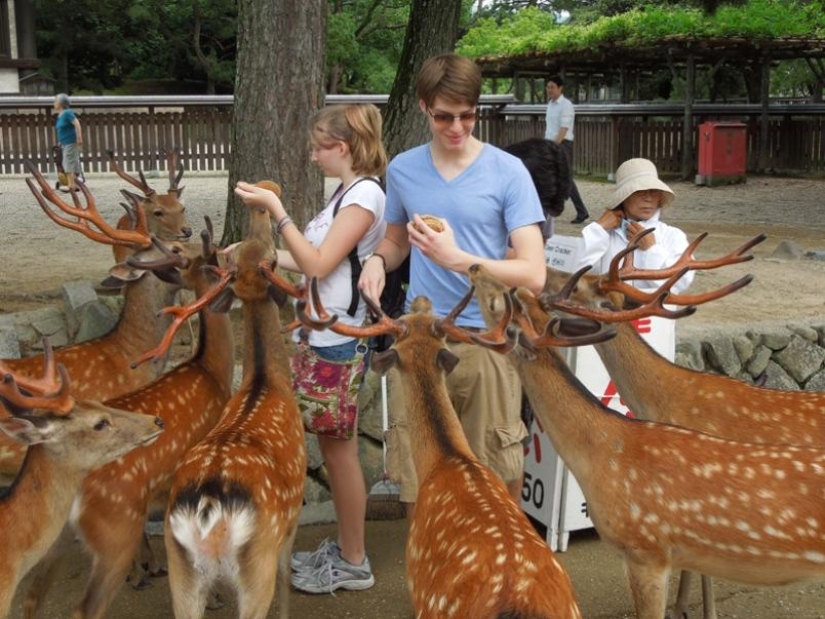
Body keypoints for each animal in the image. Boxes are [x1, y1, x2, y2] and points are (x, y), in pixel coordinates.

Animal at [21, 223, 235, 619]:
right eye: (216, 264)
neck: (212, 371)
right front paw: (212, 596)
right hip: (115, 526)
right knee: (83, 608)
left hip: (57, 532)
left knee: (32, 595)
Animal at [159, 201, 304, 616]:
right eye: (274, 257)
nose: (260, 211)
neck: (266, 382)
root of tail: (208, 507)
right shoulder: (292, 518)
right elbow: (287, 575)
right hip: (257, 563)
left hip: (181, 571)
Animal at [298, 284, 584, 619]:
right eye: (418, 316)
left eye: (401, 323)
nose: (421, 299)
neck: (446, 458)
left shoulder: (417, 584)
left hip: (441, 606)